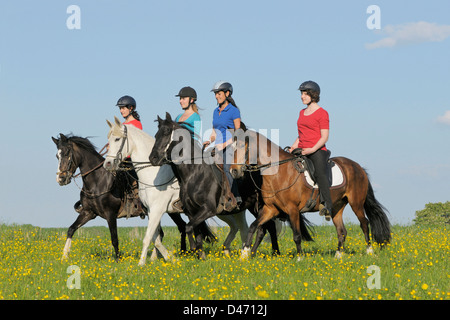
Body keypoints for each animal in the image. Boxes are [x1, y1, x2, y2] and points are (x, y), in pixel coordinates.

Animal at [51, 132, 195, 260]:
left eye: (67, 153)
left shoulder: (110, 214)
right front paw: (64, 256)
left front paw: (118, 259)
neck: (99, 181)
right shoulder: (88, 213)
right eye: (57, 156)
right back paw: (158, 257)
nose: (61, 179)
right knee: (167, 231)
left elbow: (114, 238)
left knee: (181, 227)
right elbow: (71, 229)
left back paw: (183, 253)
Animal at [103, 116, 250, 264]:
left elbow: (149, 237)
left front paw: (142, 263)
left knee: (243, 229)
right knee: (235, 227)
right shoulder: (151, 211)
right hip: (223, 212)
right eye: (108, 139)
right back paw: (228, 252)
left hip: (236, 210)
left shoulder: (157, 210)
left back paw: (244, 255)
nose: (107, 164)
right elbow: (156, 238)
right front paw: (169, 258)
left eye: (117, 139)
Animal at [148, 114, 312, 258]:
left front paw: (194, 250)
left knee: (268, 228)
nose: (153, 158)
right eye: (156, 135)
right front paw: (200, 255)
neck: (194, 173)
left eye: (166, 133)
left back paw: (271, 253)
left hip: (261, 206)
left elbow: (189, 228)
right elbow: (195, 230)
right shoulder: (191, 212)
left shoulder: (208, 209)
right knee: (266, 228)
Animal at [230, 127, 392, 260]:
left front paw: (300, 258)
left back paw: (369, 251)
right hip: (337, 207)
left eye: (242, 146)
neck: (279, 173)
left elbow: (296, 235)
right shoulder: (271, 209)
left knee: (364, 223)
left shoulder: (292, 209)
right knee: (342, 231)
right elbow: (253, 226)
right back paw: (338, 255)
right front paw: (244, 254)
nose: (234, 171)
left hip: (356, 203)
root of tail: (358, 167)